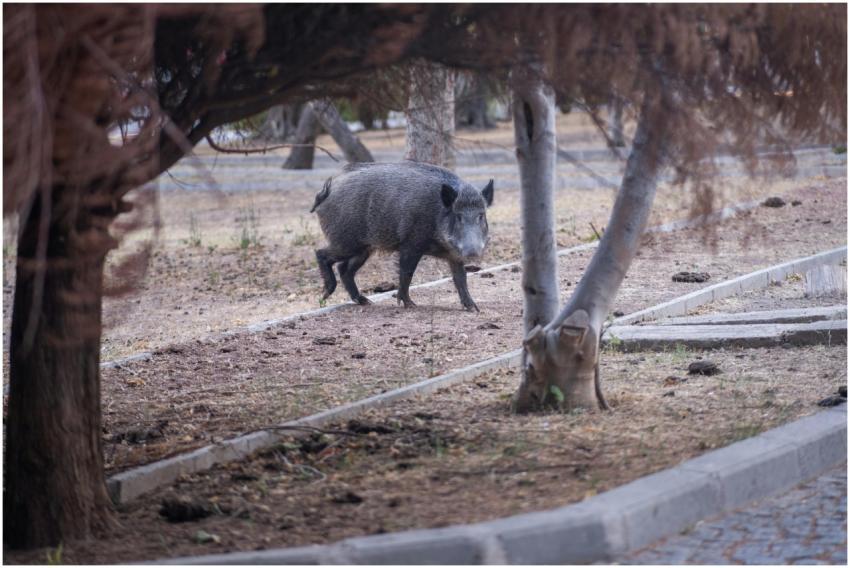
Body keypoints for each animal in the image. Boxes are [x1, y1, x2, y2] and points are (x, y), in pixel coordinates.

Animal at [310, 161, 494, 311]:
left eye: (481, 215)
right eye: (458, 216)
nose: (473, 253)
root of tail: (326, 192)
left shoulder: (454, 255)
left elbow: (461, 279)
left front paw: (474, 309)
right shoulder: (411, 244)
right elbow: (407, 273)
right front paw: (410, 305)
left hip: (363, 249)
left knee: (344, 269)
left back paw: (366, 302)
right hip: (346, 242)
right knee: (321, 253)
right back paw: (326, 294)